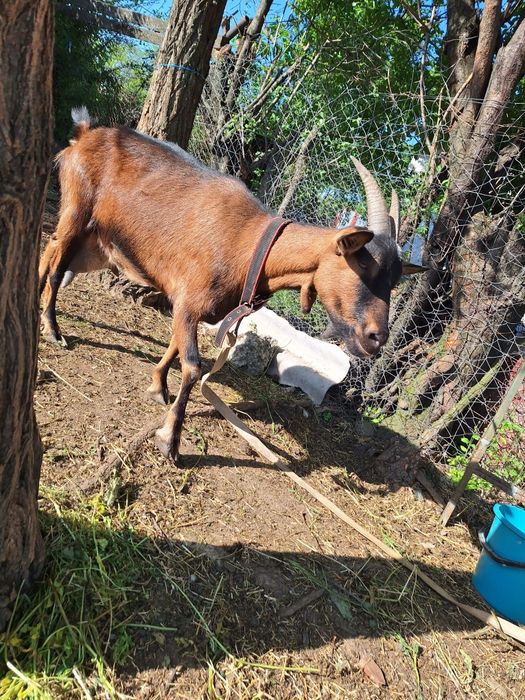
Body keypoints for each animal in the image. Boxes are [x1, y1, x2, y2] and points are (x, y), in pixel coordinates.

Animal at [39, 108, 426, 463]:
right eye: (361, 261)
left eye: (395, 280)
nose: (377, 338)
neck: (249, 245)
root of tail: (84, 133)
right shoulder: (190, 301)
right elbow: (193, 366)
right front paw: (169, 440)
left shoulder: (188, 307)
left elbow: (175, 347)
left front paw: (157, 385)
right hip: (77, 209)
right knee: (57, 265)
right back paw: (54, 329)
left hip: (97, 243)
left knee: (48, 251)